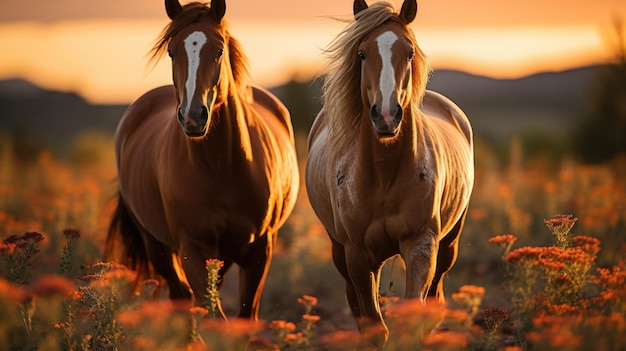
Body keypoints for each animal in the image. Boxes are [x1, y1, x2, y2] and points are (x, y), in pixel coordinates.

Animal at [106, 0, 298, 322]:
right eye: (172, 51)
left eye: (219, 50)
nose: (193, 116)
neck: (225, 169)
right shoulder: (193, 249)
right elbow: (211, 314)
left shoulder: (260, 249)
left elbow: (244, 316)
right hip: (157, 246)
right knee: (181, 297)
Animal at [304, 0, 472, 346]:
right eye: (362, 53)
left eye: (408, 52)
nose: (386, 115)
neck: (384, 175)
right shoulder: (356, 253)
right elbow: (373, 326)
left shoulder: (421, 244)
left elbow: (413, 317)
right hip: (340, 249)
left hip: (449, 244)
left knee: (435, 298)